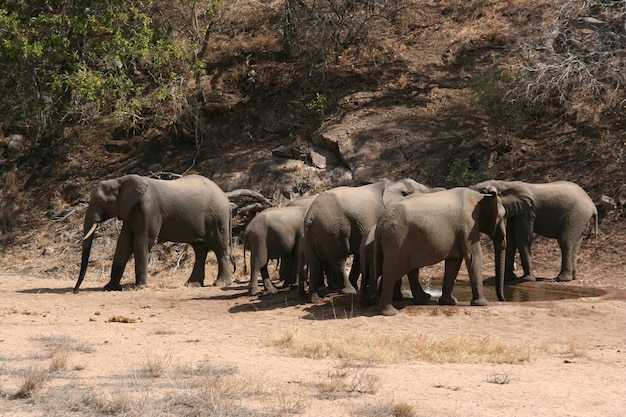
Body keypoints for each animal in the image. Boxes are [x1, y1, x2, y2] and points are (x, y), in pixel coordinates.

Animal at [73, 172, 234, 292]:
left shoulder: (148, 209)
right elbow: (123, 243)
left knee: (219, 248)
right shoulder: (129, 211)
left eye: (101, 202)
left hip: (217, 217)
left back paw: (221, 284)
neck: (119, 181)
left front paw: (139, 287)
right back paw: (192, 285)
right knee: (200, 249)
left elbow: (142, 241)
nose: (75, 291)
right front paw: (110, 288)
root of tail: (226, 198)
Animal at [302, 177, 434, 300]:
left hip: (314, 233)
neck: (395, 184)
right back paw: (348, 291)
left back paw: (316, 298)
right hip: (334, 229)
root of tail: (311, 216)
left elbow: (359, 255)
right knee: (339, 257)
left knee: (315, 262)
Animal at [370, 186, 502, 316]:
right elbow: (473, 256)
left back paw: (422, 299)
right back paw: (390, 312)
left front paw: (449, 302)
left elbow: (454, 261)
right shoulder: (468, 225)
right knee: (391, 272)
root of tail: (379, 225)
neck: (480, 196)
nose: (501, 300)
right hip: (396, 239)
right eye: (502, 217)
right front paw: (482, 304)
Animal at [468, 180, 596, 282]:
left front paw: (526, 279)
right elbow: (511, 239)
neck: (505, 183)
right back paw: (573, 278)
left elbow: (522, 238)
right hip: (580, 219)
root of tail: (593, 206)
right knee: (575, 244)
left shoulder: (527, 211)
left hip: (576, 215)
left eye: (483, 192)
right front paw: (508, 279)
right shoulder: (516, 211)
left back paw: (562, 279)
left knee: (565, 241)